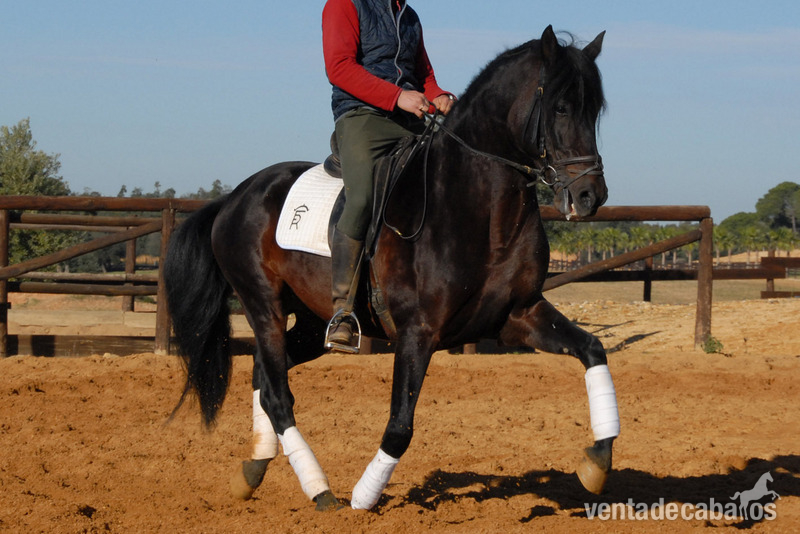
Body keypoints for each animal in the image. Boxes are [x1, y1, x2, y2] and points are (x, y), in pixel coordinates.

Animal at [164, 25, 618, 512]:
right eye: (561, 107)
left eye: (595, 111)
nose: (591, 196)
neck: (478, 208)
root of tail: (234, 198)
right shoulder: (418, 332)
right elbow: (400, 425)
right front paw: (364, 499)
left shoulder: (520, 315)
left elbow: (593, 350)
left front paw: (596, 464)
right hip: (262, 304)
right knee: (277, 395)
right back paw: (321, 491)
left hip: (311, 321)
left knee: (267, 378)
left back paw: (253, 469)